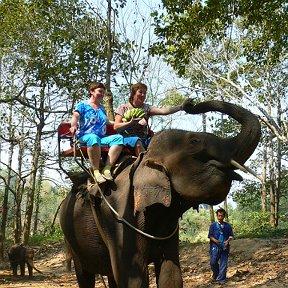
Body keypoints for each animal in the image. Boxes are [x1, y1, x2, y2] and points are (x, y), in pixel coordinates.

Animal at [60, 100, 260, 286]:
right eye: (194, 141)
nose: (190, 104)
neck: (143, 160)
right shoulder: (118, 218)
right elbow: (133, 278)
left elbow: (171, 274)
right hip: (71, 237)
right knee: (85, 275)